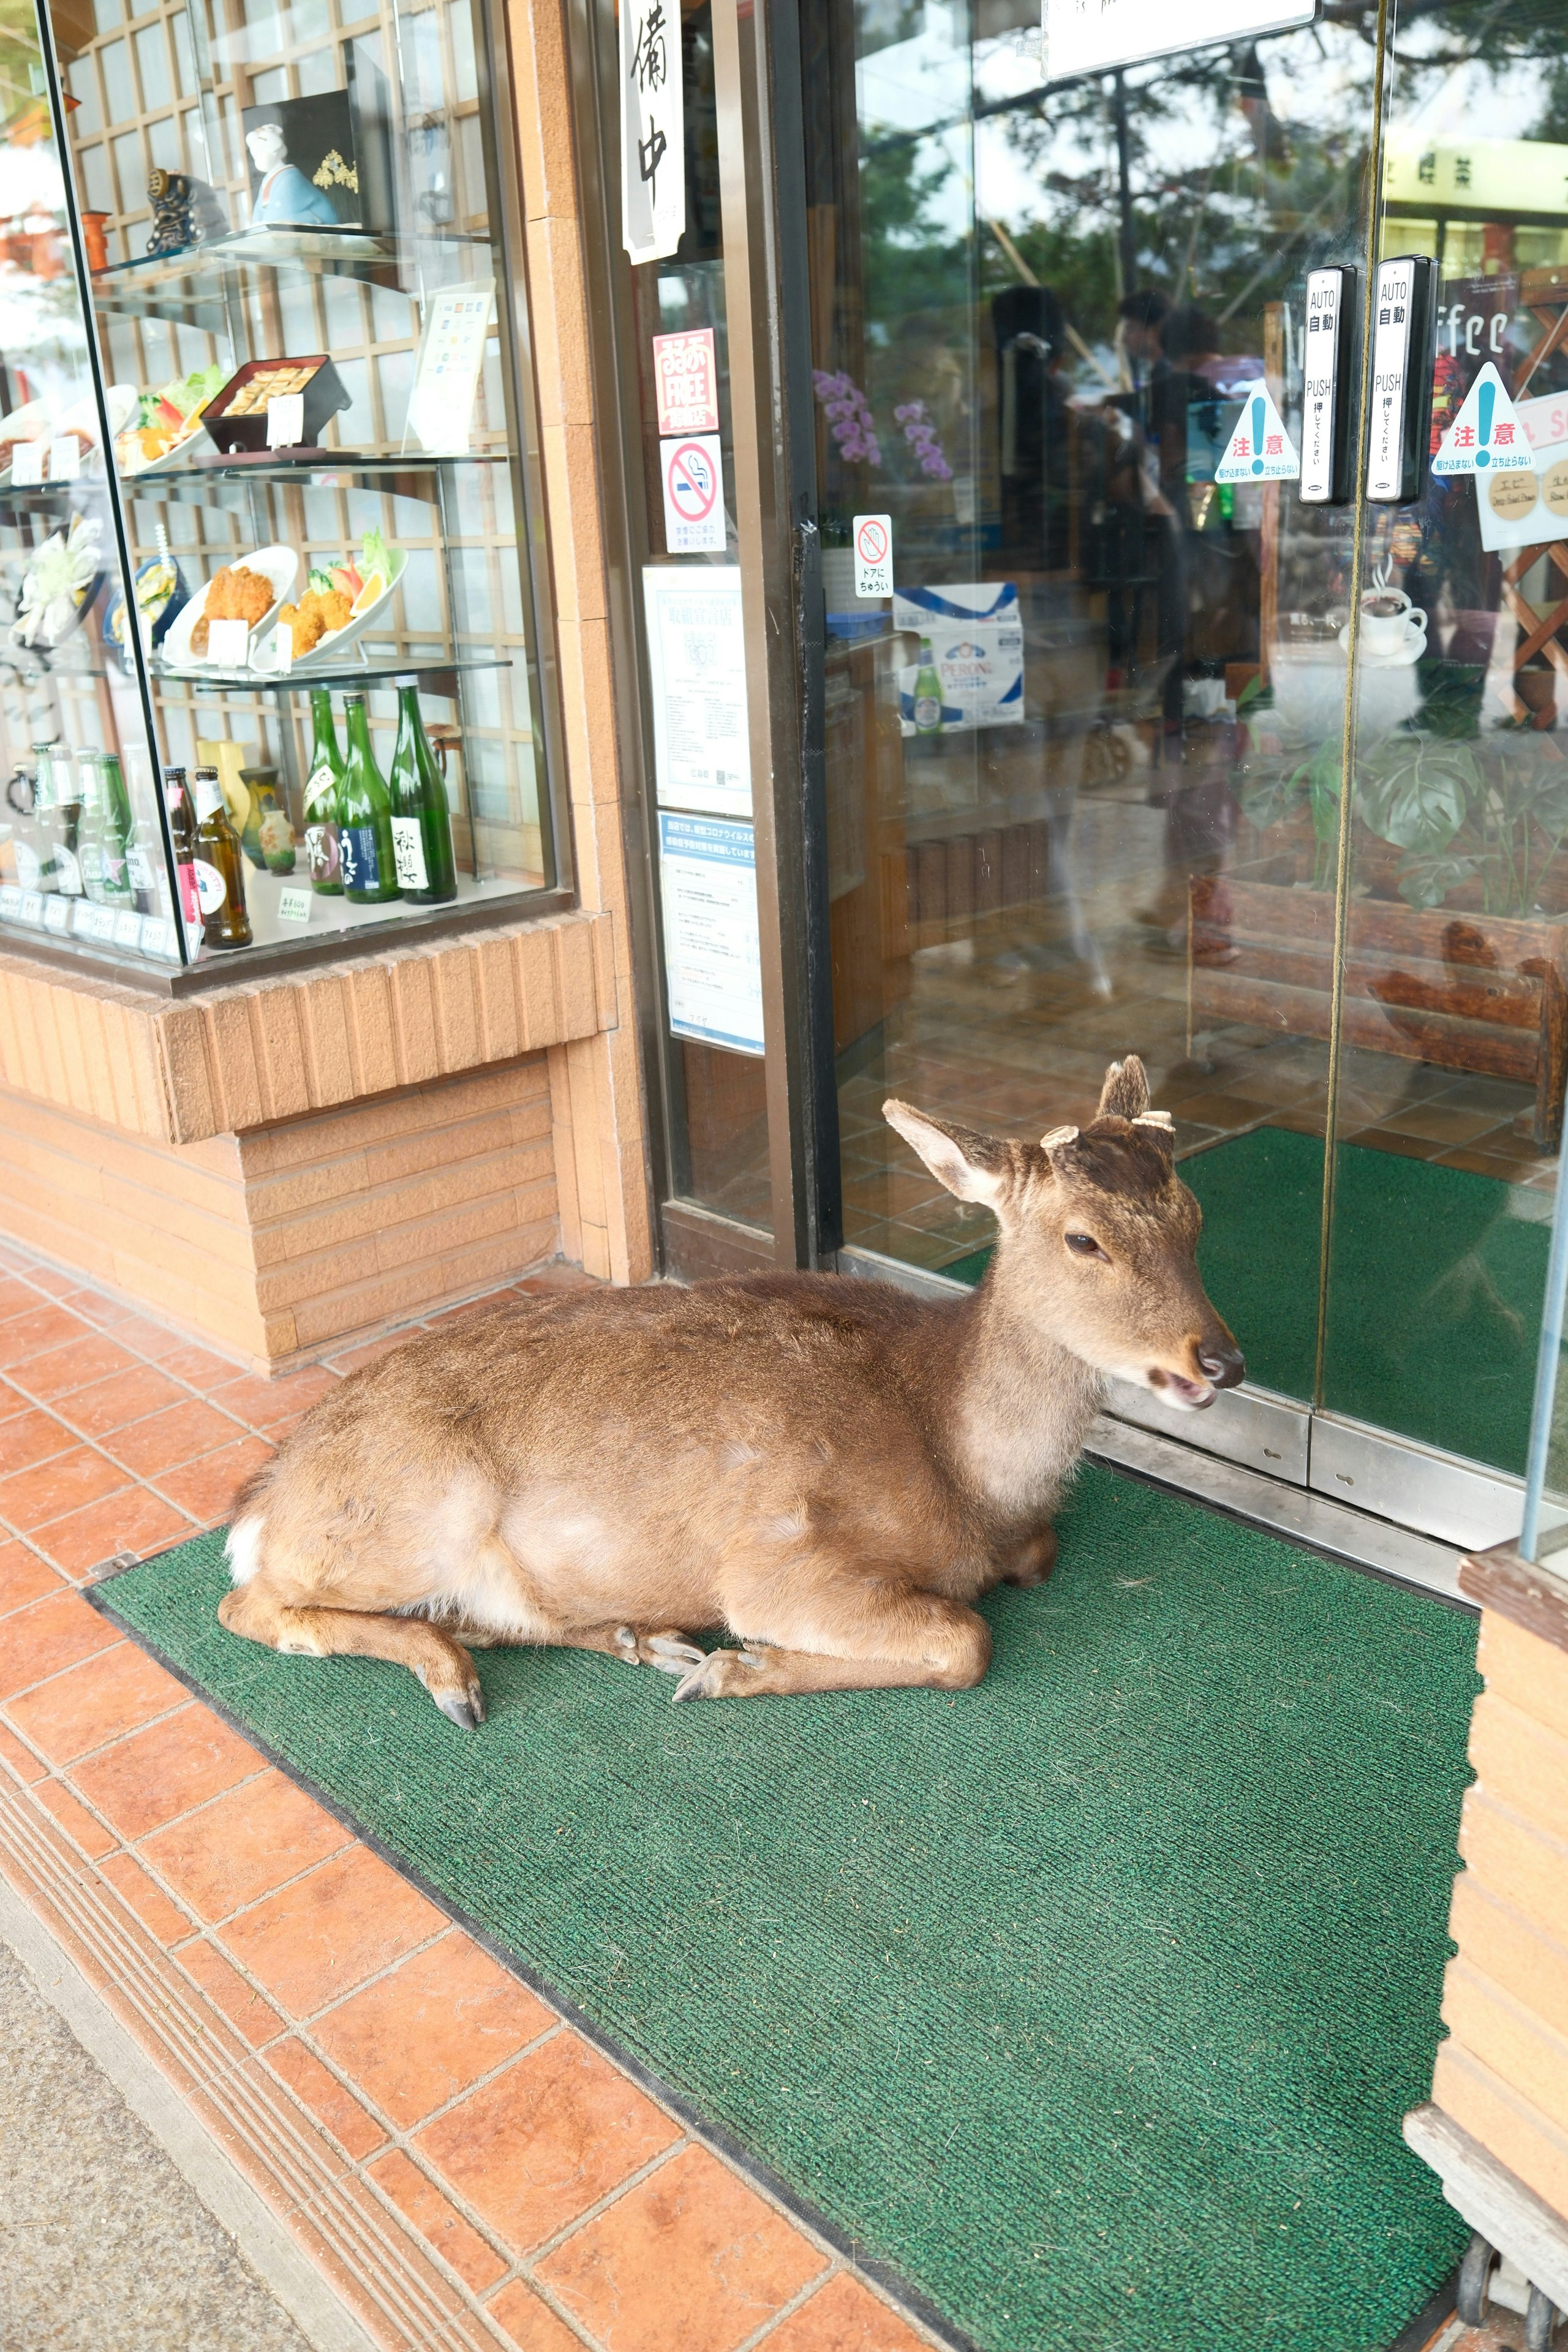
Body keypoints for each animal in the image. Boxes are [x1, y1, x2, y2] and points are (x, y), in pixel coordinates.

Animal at [218, 1056, 1243, 1724]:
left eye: (1194, 1216)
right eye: (1084, 1239)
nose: (1221, 1361)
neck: (969, 1473)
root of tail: (266, 1499)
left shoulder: (1025, 1542)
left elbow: (1031, 1568)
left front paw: (715, 1665)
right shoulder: (777, 1559)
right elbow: (965, 1640)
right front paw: (742, 1669)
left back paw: (639, 1639)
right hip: (412, 1511)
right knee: (251, 1604)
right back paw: (460, 1680)